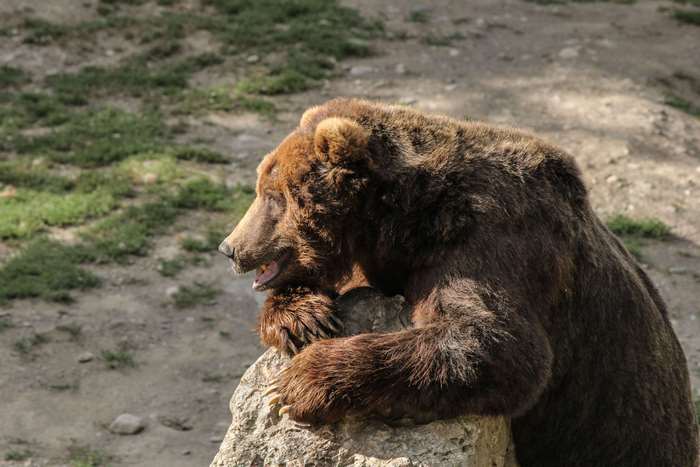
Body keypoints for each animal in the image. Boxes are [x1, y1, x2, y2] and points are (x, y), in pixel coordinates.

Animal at [218, 98, 698, 467]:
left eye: (272, 194)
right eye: (263, 185)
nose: (230, 247)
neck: (406, 221)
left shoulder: (492, 240)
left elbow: (498, 342)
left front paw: (298, 382)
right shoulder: (384, 259)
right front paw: (303, 319)